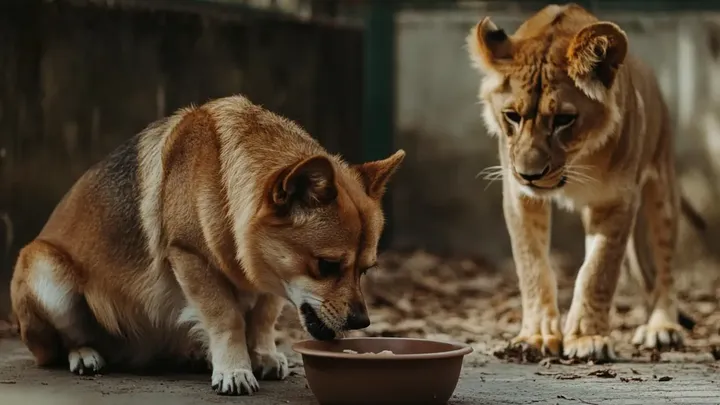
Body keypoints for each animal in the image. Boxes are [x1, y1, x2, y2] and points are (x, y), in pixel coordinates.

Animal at [466, 3, 704, 361]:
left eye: (564, 119)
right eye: (512, 116)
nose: (529, 174)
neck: (579, 162)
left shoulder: (618, 200)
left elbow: (598, 271)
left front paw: (587, 338)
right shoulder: (521, 198)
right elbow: (532, 265)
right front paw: (537, 336)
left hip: (662, 191)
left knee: (664, 269)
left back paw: (662, 327)